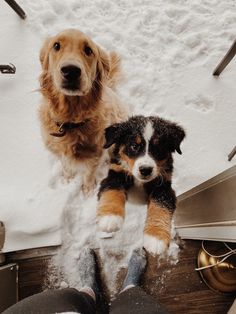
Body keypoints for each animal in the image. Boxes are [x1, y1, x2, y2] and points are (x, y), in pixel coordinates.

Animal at [97, 115, 185, 255]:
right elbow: (112, 191)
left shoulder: (164, 188)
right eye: (134, 146)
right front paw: (110, 218)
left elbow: (160, 205)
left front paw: (156, 239)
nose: (145, 170)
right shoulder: (114, 175)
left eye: (159, 148)